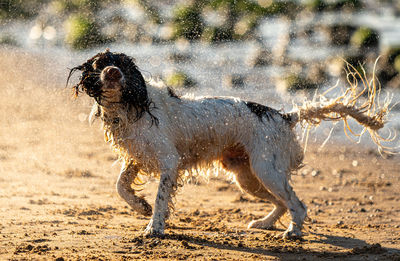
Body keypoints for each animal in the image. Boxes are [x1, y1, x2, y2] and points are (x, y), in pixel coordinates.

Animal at [68, 49, 390, 238]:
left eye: (123, 65)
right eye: (100, 64)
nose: (113, 72)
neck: (129, 106)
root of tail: (284, 116)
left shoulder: (169, 163)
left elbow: (160, 199)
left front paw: (154, 226)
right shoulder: (135, 157)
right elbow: (121, 186)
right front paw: (141, 207)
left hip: (266, 169)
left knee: (298, 205)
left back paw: (293, 233)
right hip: (247, 176)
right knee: (282, 203)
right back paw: (264, 224)